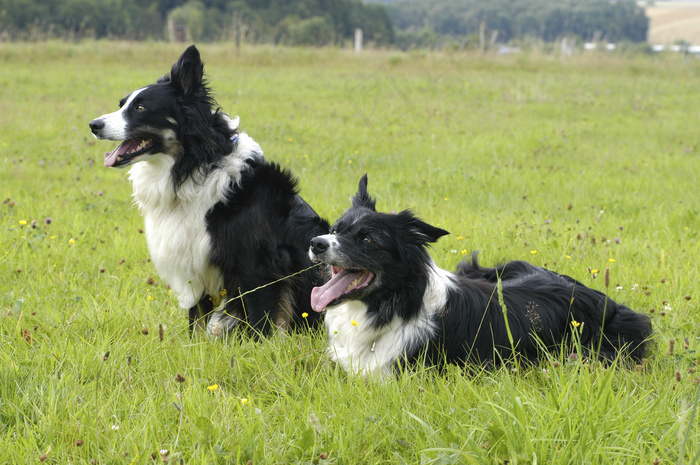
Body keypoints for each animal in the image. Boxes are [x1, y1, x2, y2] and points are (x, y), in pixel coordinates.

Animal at [89, 46, 328, 334]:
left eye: (141, 107)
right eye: (122, 105)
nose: (93, 125)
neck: (193, 167)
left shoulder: (259, 267)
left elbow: (261, 320)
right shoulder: (193, 264)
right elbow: (197, 319)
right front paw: (195, 343)